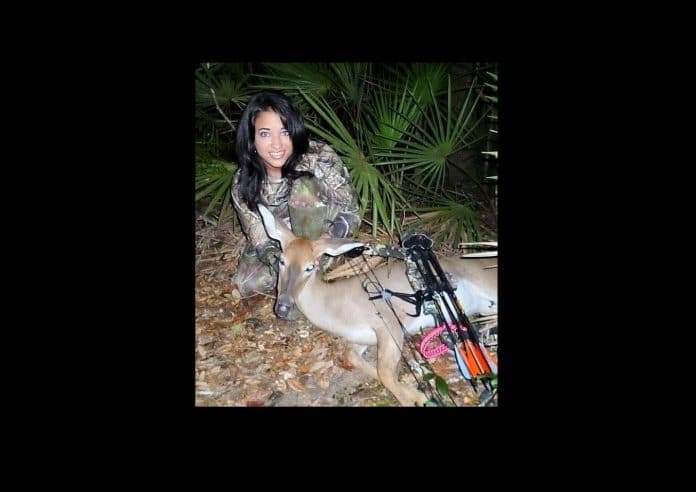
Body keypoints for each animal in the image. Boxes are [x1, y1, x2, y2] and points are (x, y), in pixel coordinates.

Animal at [258, 205, 498, 408]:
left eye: (310, 267)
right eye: (281, 260)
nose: (283, 306)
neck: (336, 310)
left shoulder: (388, 321)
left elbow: (385, 372)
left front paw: (415, 397)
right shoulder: (361, 337)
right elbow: (355, 359)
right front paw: (417, 393)